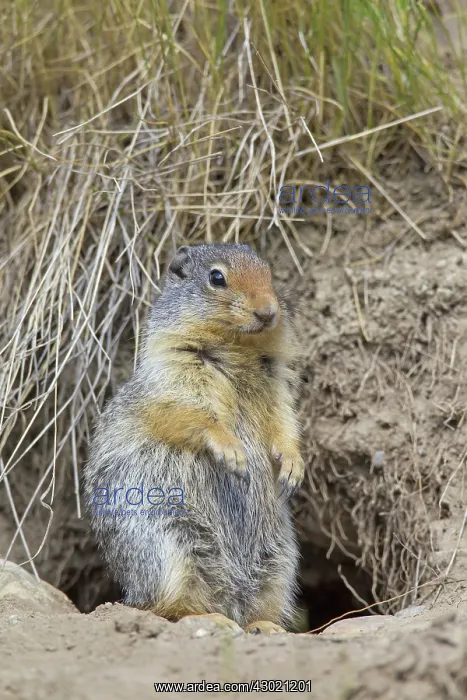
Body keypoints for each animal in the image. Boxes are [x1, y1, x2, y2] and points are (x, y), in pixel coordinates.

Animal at [84, 243, 304, 633]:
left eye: (269, 273)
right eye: (217, 277)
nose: (268, 311)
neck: (238, 350)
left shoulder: (277, 383)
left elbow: (284, 421)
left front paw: (293, 466)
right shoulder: (176, 370)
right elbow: (193, 413)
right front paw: (233, 453)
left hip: (280, 560)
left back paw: (266, 625)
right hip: (169, 545)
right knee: (163, 608)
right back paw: (211, 618)